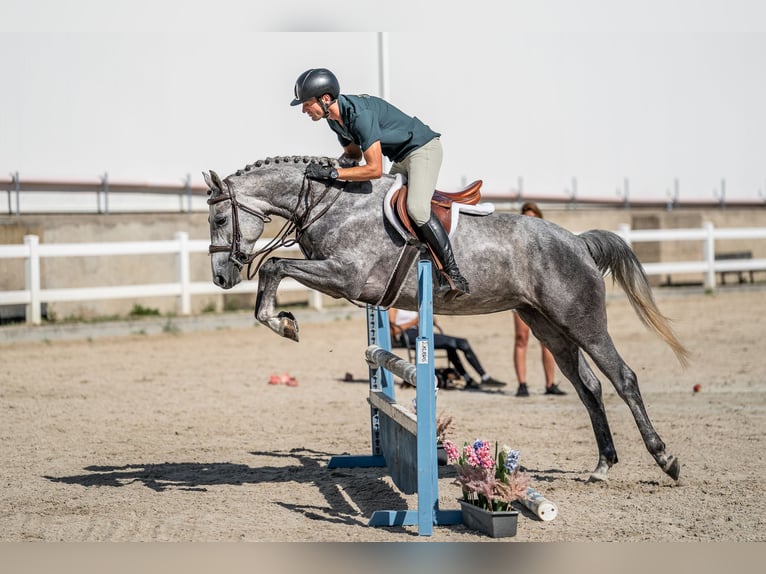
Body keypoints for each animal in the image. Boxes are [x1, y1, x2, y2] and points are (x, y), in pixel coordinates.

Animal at [203, 155, 689, 483]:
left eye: (221, 217)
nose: (222, 277)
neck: (332, 204)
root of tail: (578, 241)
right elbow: (274, 269)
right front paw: (284, 320)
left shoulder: (347, 277)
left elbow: (273, 266)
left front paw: (283, 322)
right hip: (547, 325)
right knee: (588, 386)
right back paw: (603, 465)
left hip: (582, 322)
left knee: (623, 378)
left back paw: (666, 459)